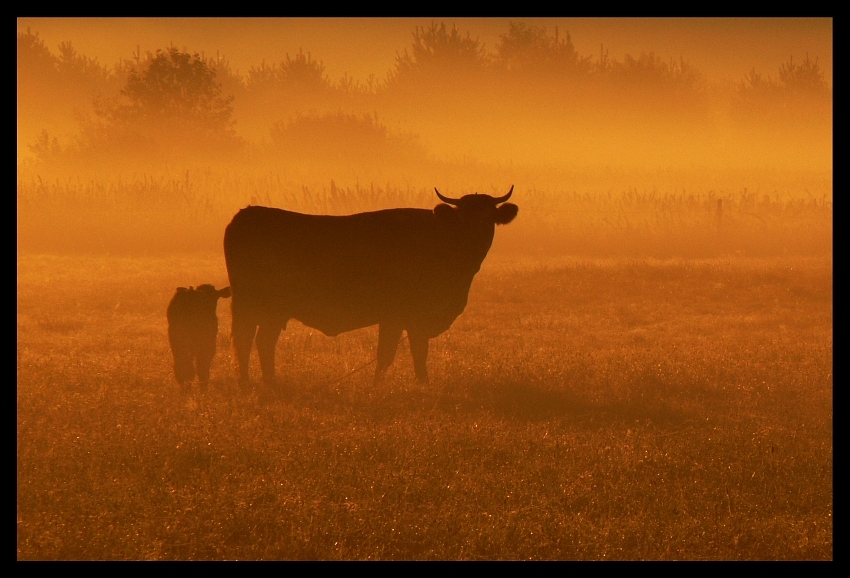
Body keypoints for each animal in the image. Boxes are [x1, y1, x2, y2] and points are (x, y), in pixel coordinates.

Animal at [224, 187, 516, 390]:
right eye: (462, 217)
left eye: (489, 217)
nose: (476, 238)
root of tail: (246, 213)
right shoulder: (401, 318)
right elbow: (395, 354)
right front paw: (390, 387)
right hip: (258, 307)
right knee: (247, 340)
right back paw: (250, 383)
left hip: (272, 312)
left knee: (261, 342)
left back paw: (268, 382)